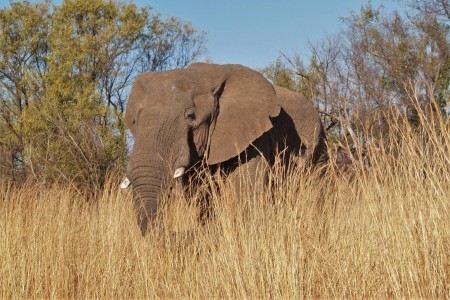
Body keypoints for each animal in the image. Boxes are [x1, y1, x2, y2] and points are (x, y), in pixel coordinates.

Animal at [121, 62, 326, 234]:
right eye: (135, 120)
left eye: (190, 116)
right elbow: (203, 197)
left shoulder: (253, 135)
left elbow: (246, 193)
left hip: (317, 145)